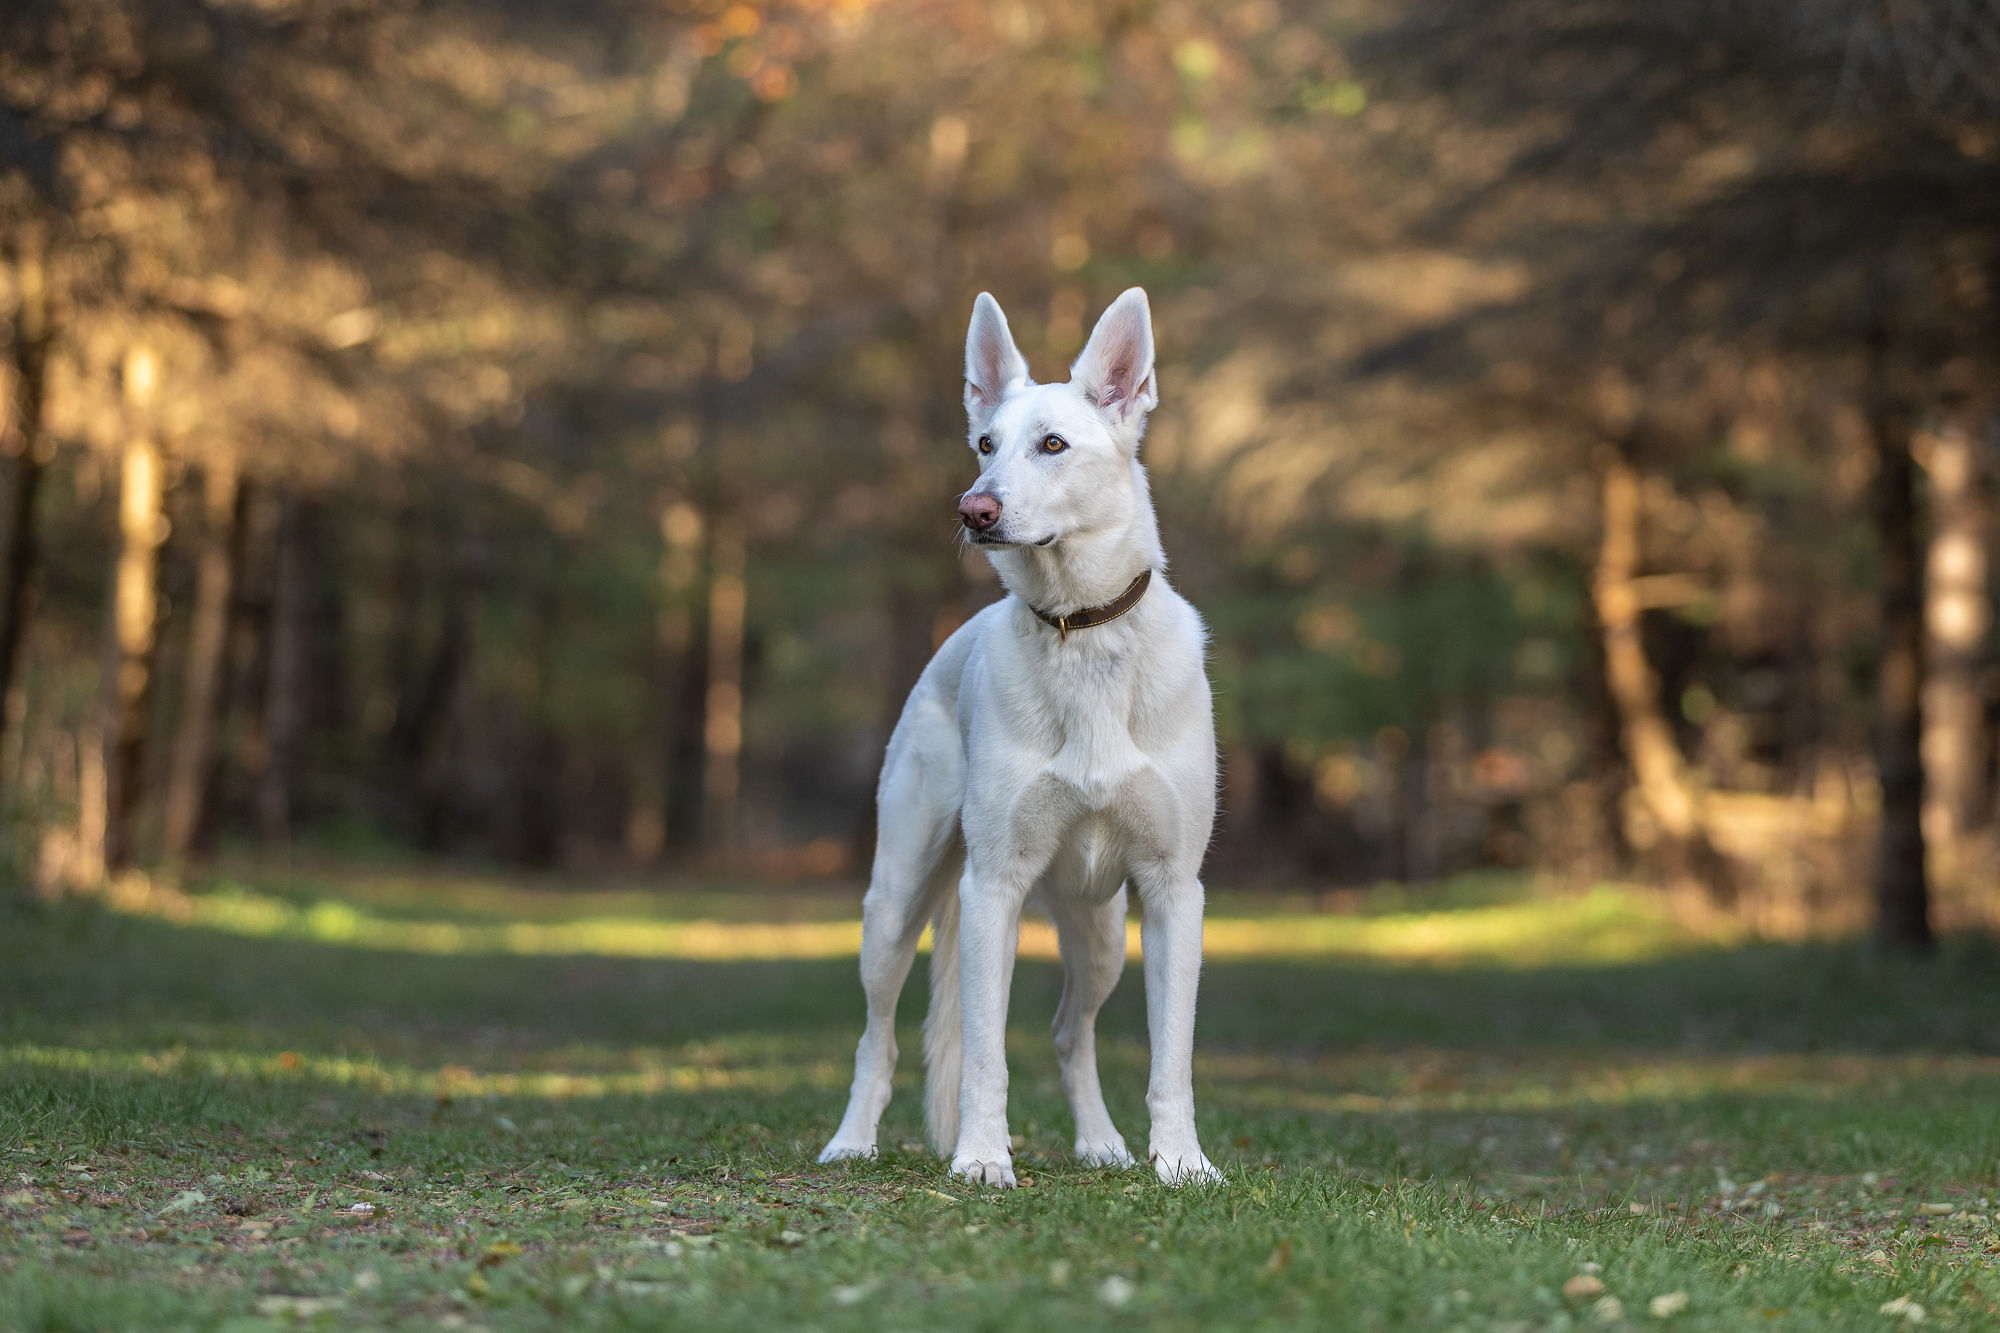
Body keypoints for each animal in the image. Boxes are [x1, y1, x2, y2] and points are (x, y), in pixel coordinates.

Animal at [812, 290, 1216, 1184]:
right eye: (986, 444)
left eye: (1053, 444)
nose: (974, 510)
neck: (1080, 628)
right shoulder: (990, 886)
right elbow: (985, 1053)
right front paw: (981, 1159)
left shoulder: (1174, 890)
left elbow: (1172, 1054)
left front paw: (1180, 1161)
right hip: (895, 903)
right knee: (877, 1038)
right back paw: (851, 1140)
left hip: (1100, 933)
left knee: (1072, 1030)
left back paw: (1101, 1144)